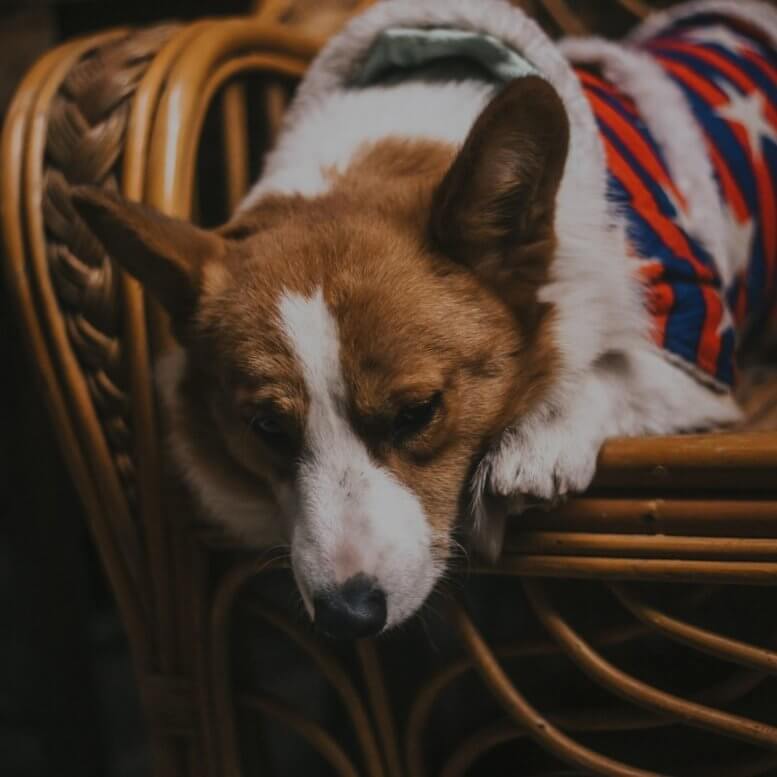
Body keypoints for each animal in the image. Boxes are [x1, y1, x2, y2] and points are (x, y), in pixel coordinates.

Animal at [74, 0, 776, 636]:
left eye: (418, 412)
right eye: (266, 427)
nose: (347, 617)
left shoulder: (693, 342)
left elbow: (615, 366)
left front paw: (540, 437)